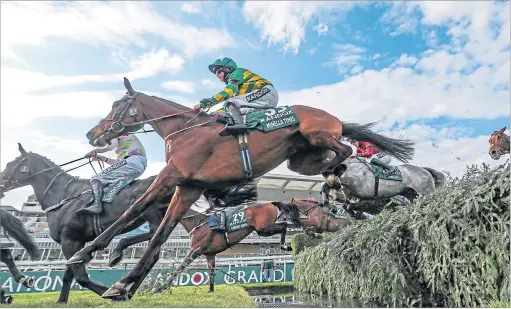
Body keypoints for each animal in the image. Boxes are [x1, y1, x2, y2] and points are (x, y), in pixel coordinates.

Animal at [0, 144, 256, 300]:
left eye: (12, 165)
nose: (1, 183)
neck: (64, 195)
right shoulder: (75, 241)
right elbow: (69, 275)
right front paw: (62, 301)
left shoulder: (69, 239)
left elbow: (81, 277)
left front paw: (110, 292)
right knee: (152, 246)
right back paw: (125, 269)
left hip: (151, 213)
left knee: (151, 243)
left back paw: (123, 272)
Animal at [68, 77, 414, 298]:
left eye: (117, 106)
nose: (91, 134)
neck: (184, 130)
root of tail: (335, 118)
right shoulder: (188, 186)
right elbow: (159, 235)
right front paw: (123, 284)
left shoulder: (171, 176)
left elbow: (133, 210)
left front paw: (87, 252)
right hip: (300, 160)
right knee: (334, 161)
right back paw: (335, 186)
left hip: (317, 134)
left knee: (346, 150)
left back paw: (339, 187)